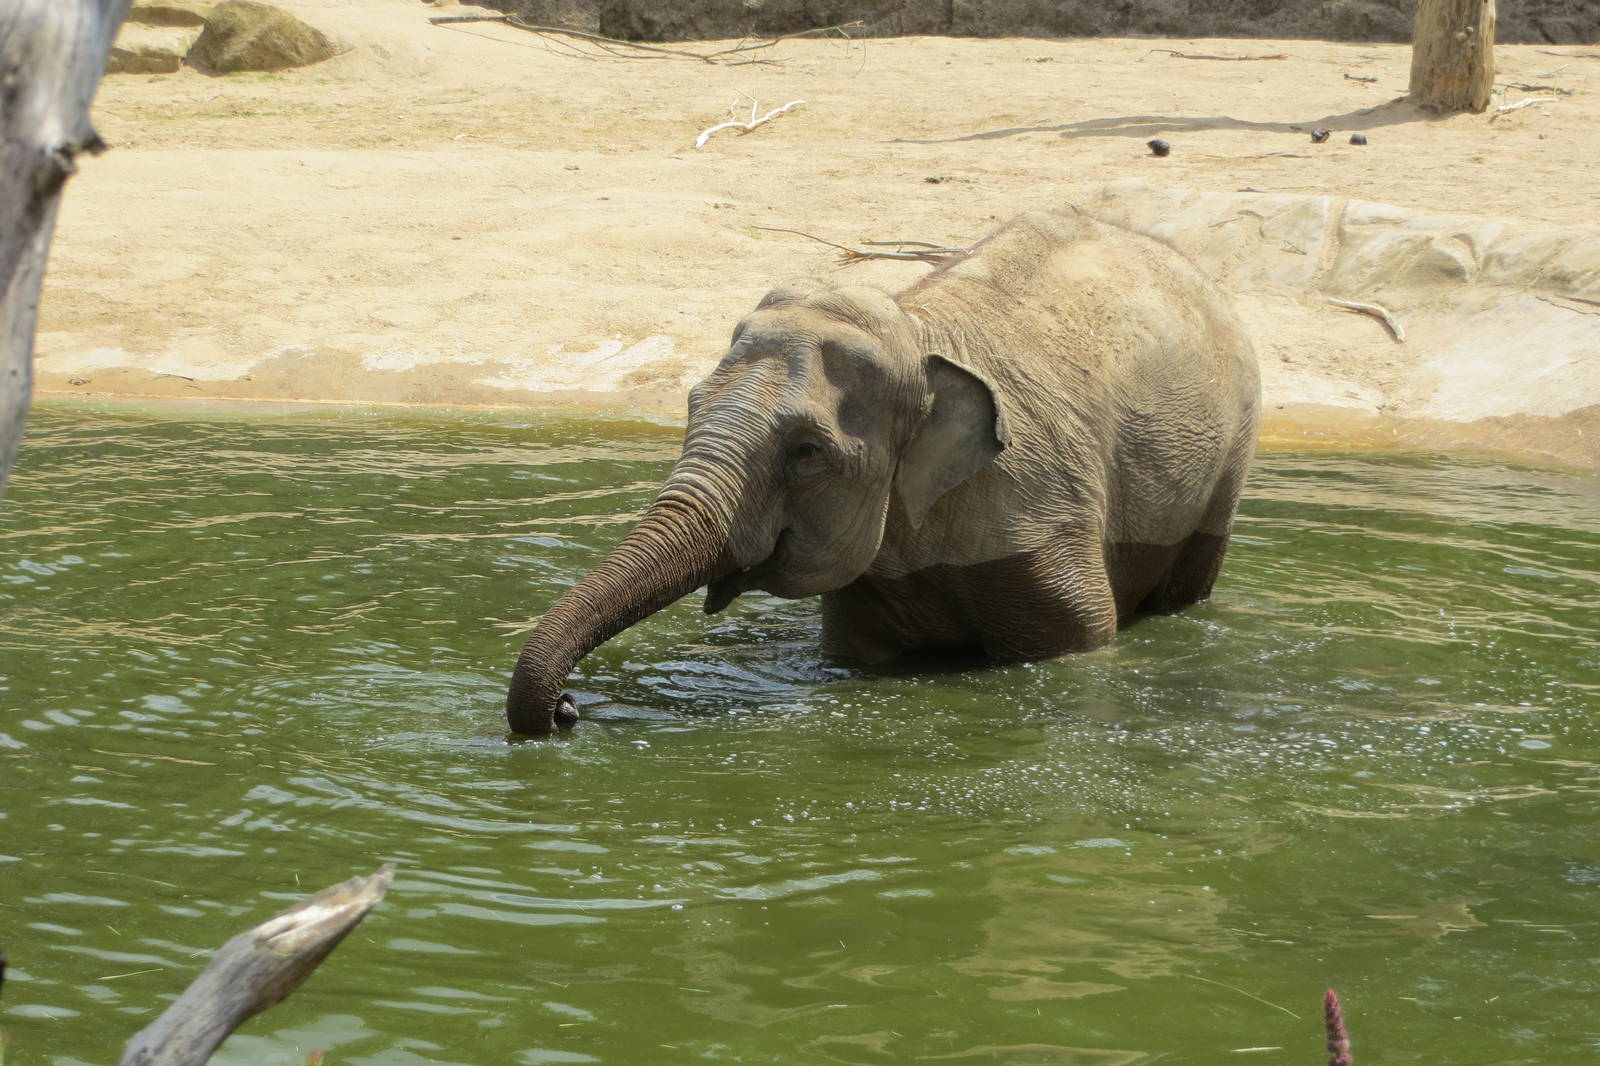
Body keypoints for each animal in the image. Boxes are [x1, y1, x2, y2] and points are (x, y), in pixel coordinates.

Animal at [504, 207, 1260, 735]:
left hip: (1233, 449)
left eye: (806, 452)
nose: (569, 709)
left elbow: (1080, 636)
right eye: (689, 405)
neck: (916, 324)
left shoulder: (1044, 500)